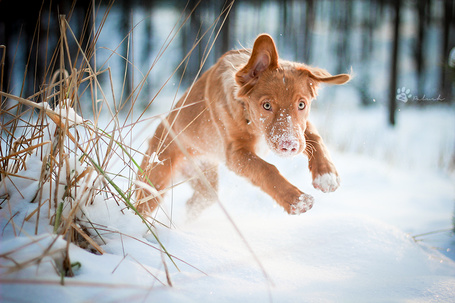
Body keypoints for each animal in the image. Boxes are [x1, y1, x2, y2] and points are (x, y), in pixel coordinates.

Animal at [137, 33, 350, 216]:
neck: (249, 118)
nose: (288, 146)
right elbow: (266, 169)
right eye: (266, 105)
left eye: (301, 104)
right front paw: (297, 200)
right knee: (141, 207)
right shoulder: (235, 154)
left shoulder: (299, 127)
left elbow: (314, 136)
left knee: (194, 203)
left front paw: (326, 174)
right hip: (153, 183)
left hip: (205, 184)